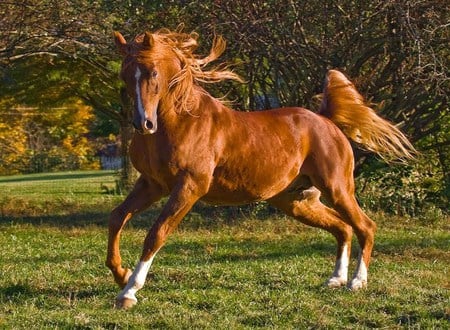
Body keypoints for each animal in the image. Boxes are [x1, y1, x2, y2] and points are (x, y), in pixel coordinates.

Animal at [106, 29, 414, 310]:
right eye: (125, 75)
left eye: (153, 73)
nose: (143, 124)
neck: (181, 121)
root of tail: (327, 121)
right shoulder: (152, 184)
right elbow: (117, 217)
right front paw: (121, 275)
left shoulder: (189, 187)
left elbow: (156, 234)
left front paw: (129, 292)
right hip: (297, 202)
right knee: (343, 229)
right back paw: (335, 279)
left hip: (337, 190)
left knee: (365, 226)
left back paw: (357, 282)